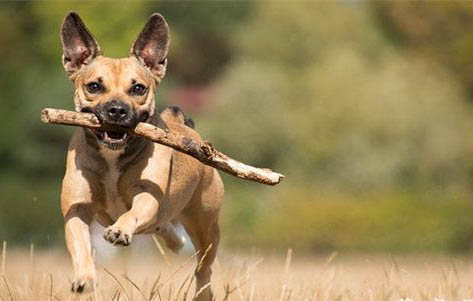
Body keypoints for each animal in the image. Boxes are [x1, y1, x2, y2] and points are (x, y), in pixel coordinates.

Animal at [58, 10, 223, 298]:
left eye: (138, 89)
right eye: (94, 86)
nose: (117, 110)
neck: (112, 156)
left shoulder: (146, 195)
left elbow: (132, 212)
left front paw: (119, 230)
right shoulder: (77, 207)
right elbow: (80, 244)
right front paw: (84, 278)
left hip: (206, 226)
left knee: (204, 267)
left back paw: (202, 290)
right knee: (164, 227)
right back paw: (174, 239)